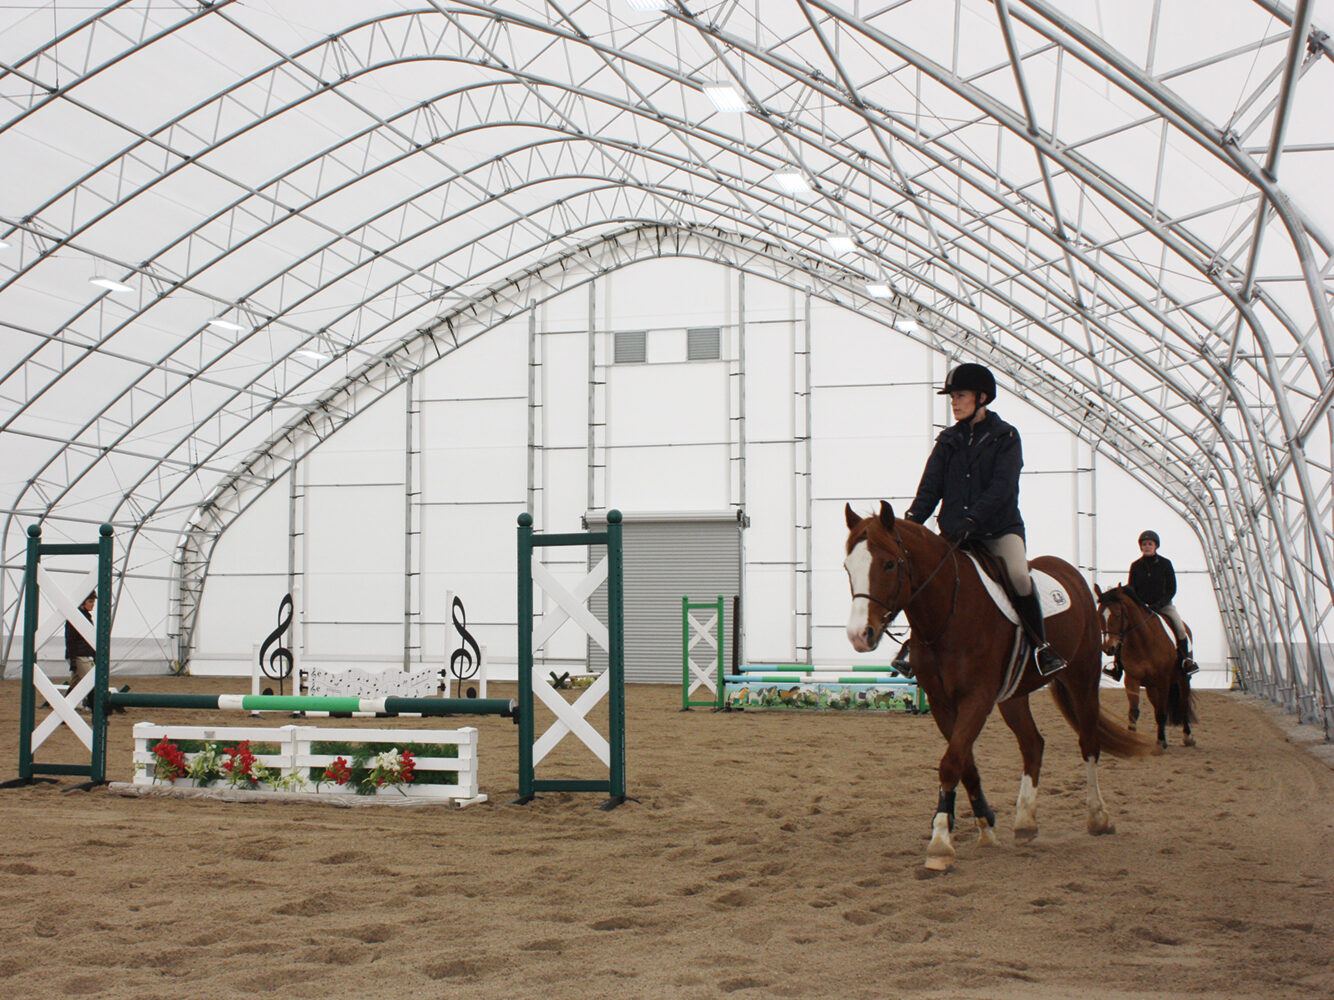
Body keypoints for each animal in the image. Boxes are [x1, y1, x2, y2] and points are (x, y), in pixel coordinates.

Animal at [843, 504, 1147, 874]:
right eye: (848, 566)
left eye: (889, 564)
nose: (860, 635)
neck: (949, 610)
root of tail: (1070, 574)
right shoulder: (942, 703)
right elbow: (965, 763)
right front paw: (986, 827)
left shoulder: (977, 698)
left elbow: (951, 763)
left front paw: (940, 843)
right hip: (1014, 695)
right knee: (1033, 744)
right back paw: (1025, 822)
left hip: (1082, 678)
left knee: (1088, 742)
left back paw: (1098, 817)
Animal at [1093, 586, 1200, 752]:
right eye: (1099, 614)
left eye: (1117, 614)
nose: (1108, 648)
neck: (1142, 642)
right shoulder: (1132, 679)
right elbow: (1134, 712)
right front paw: (1132, 739)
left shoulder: (1163, 681)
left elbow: (1162, 712)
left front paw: (1161, 743)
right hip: (1151, 687)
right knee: (1157, 706)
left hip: (1182, 679)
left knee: (1182, 704)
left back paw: (1187, 737)